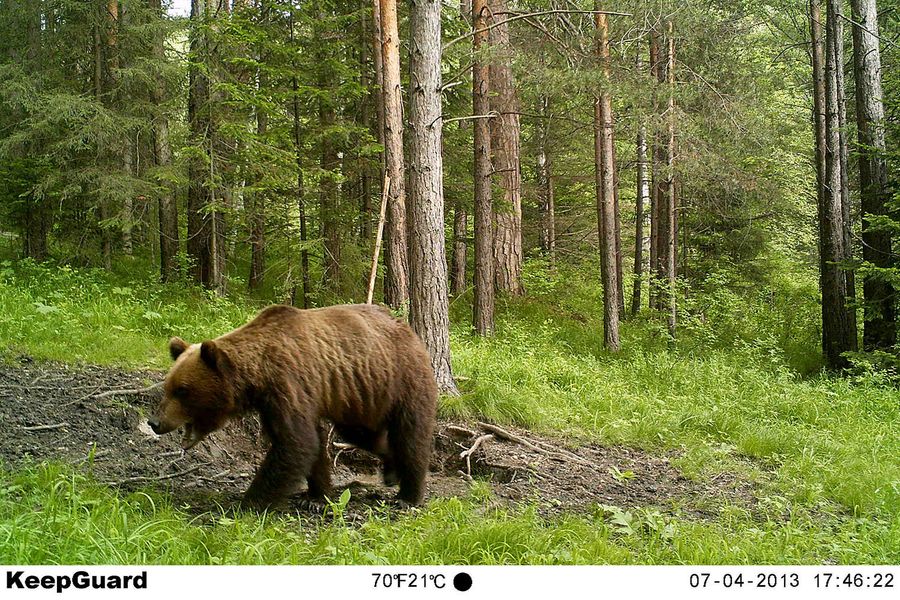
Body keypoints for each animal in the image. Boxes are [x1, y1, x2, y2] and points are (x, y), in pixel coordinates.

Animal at [147, 303, 438, 509]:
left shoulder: (287, 382)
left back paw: (409, 495)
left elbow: (295, 442)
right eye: (168, 386)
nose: (155, 422)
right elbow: (309, 442)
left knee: (410, 433)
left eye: (183, 390)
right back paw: (391, 470)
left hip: (404, 378)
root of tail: (408, 329)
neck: (257, 376)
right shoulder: (274, 401)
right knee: (364, 434)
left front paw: (248, 502)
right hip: (361, 394)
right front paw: (316, 496)